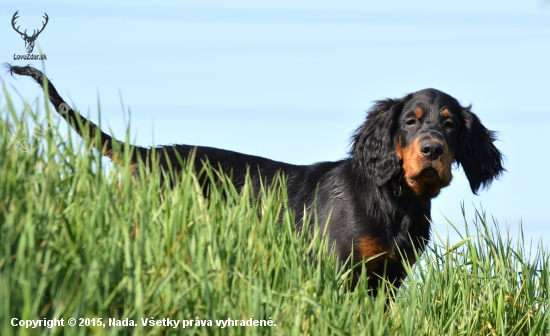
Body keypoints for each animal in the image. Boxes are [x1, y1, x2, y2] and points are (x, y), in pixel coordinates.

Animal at [7, 65, 504, 292]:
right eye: (410, 122)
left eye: (450, 125)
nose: (432, 150)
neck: (395, 199)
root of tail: (147, 156)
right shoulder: (336, 268)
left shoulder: (388, 280)